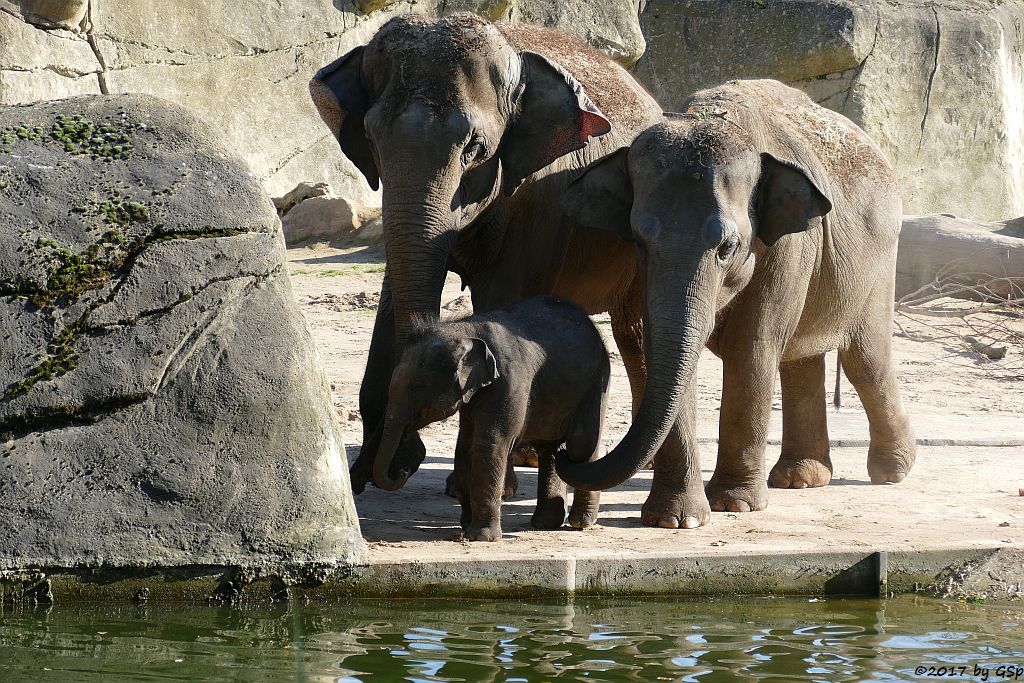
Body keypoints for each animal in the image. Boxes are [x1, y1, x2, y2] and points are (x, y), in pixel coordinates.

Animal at [372, 296, 606, 540]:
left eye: (417, 386)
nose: (403, 471)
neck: (467, 330)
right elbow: (465, 443)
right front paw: (466, 526)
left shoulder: (509, 380)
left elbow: (491, 441)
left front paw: (480, 537)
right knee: (549, 449)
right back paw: (545, 523)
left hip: (595, 382)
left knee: (581, 445)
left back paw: (581, 522)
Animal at [557, 78, 917, 524]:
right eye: (638, 240)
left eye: (727, 247)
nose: (564, 451)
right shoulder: (644, 272)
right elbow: (665, 350)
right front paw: (675, 520)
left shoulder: (787, 247)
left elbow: (752, 348)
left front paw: (734, 504)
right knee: (801, 360)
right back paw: (801, 478)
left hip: (880, 263)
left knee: (864, 360)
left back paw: (891, 471)